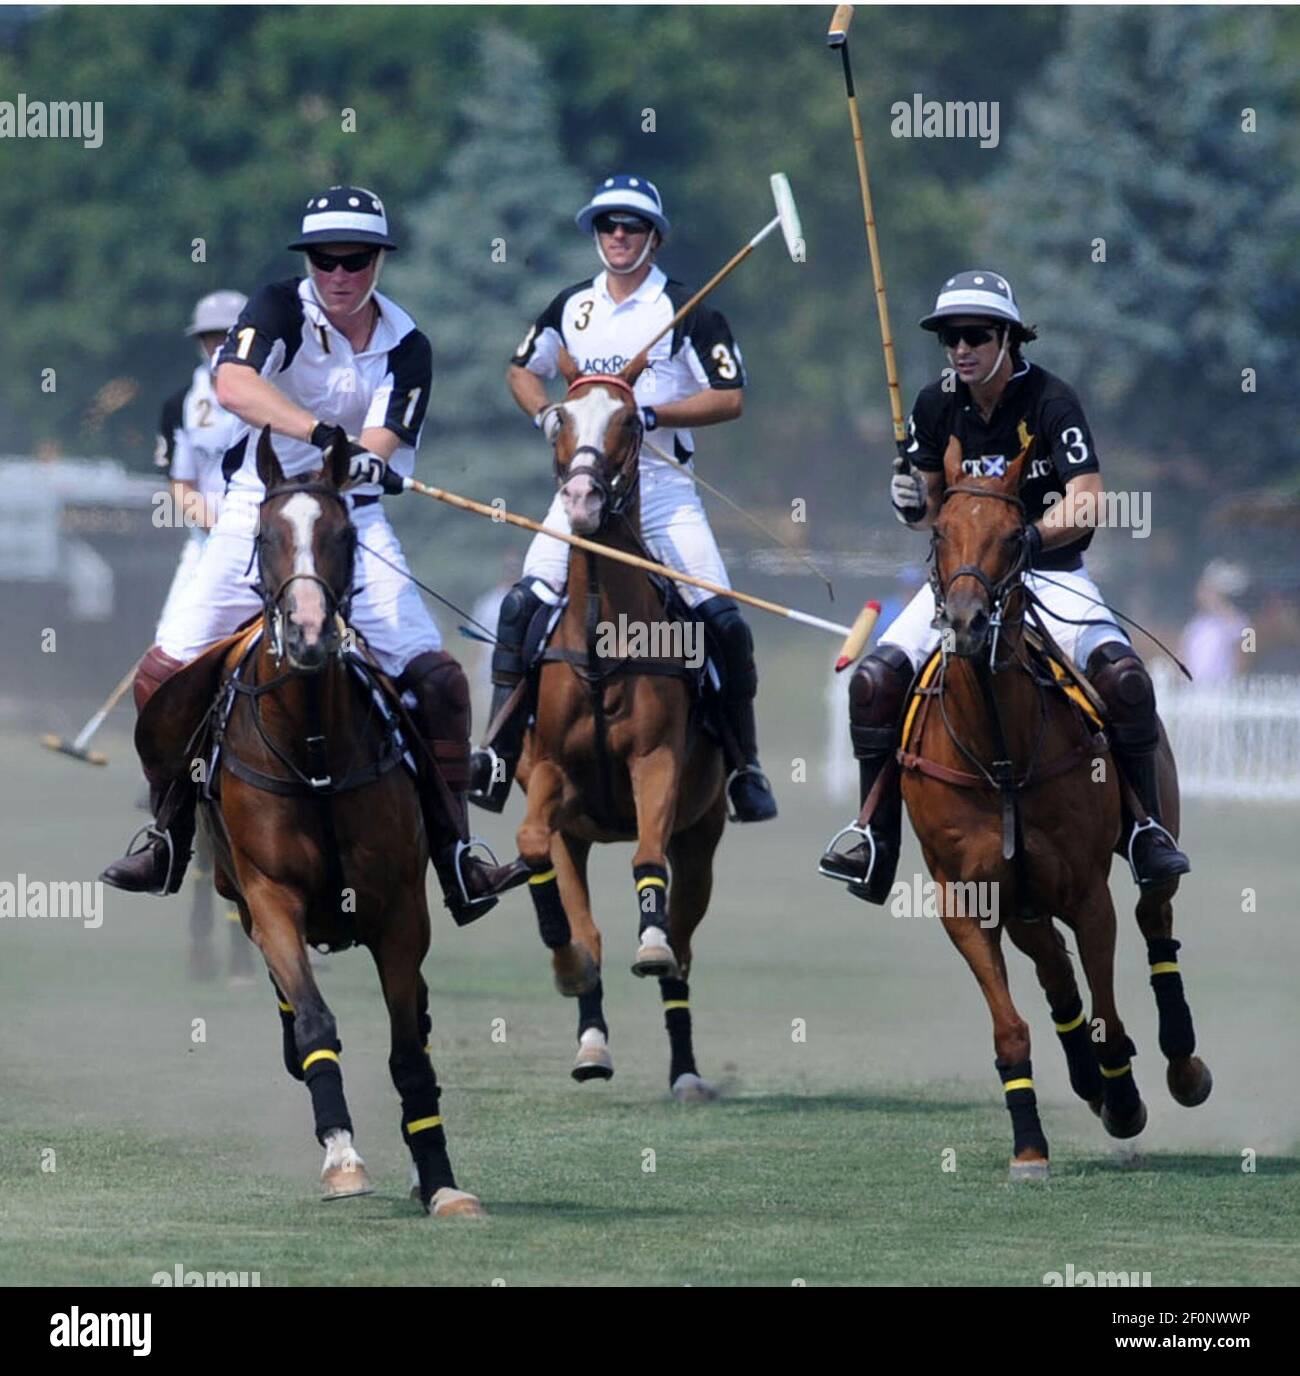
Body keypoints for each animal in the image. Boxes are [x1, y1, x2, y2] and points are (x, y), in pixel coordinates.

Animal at [148, 429, 481, 1216]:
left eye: (344, 536)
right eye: (266, 537)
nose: (305, 634)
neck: (315, 749)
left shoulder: (402, 909)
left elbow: (408, 1050)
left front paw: (439, 1177)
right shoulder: (271, 897)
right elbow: (314, 1019)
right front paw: (343, 1157)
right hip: (239, 890)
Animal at [514, 360, 731, 1100]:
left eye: (632, 422)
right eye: (560, 418)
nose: (580, 500)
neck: (602, 642)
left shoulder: (655, 761)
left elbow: (647, 858)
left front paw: (651, 943)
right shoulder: (551, 777)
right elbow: (533, 851)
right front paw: (567, 968)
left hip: (704, 838)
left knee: (686, 949)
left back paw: (687, 1068)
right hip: (577, 837)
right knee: (589, 922)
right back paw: (591, 1041)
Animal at [891, 440, 1205, 1183]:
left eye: (1014, 537)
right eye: (940, 533)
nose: (967, 623)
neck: (999, 751)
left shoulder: (1088, 894)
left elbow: (1111, 1016)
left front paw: (1125, 1101)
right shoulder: (966, 901)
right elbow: (1012, 1028)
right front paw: (1030, 1146)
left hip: (1147, 832)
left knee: (1156, 916)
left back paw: (1179, 1066)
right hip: (1023, 900)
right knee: (1054, 971)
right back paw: (1088, 1079)